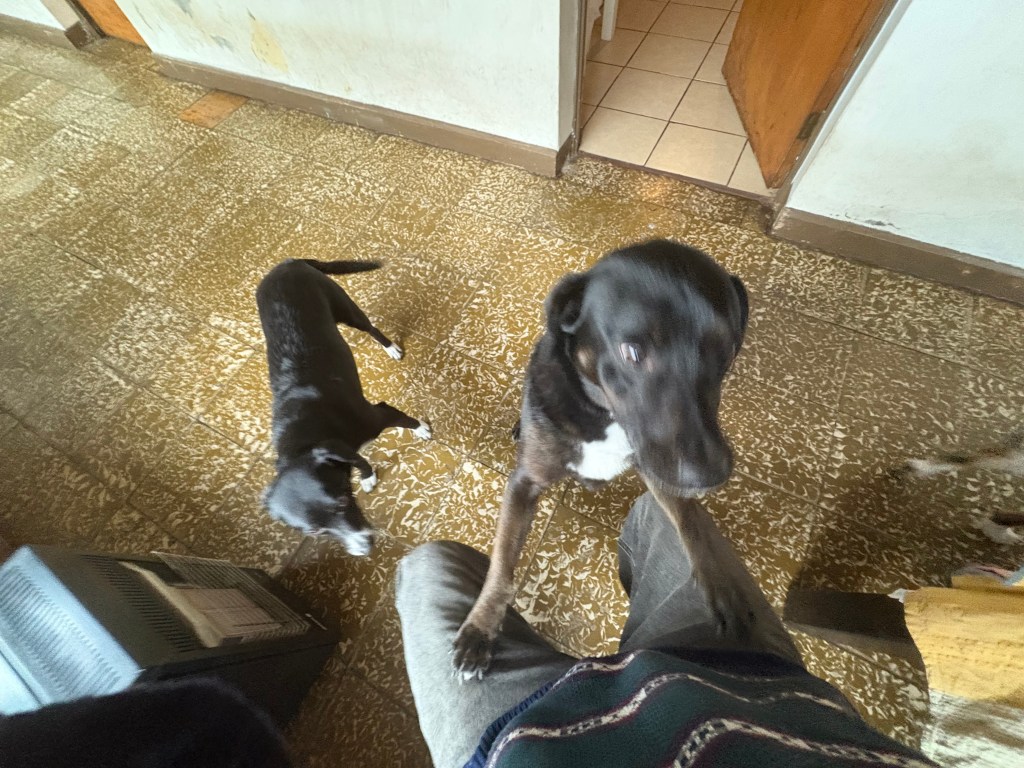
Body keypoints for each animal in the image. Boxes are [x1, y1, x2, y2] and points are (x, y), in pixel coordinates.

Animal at [256, 259, 431, 557]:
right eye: (314, 532)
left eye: (340, 502)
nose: (364, 547)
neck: (304, 440)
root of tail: (286, 263)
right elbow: (361, 460)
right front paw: (367, 477)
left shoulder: (380, 414)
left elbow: (406, 422)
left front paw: (422, 430)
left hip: (347, 309)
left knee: (371, 328)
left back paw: (392, 348)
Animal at [452, 240, 749, 678]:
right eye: (632, 352)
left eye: (726, 352)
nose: (712, 474)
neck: (603, 413)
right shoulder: (524, 483)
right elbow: (502, 565)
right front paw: (480, 628)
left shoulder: (661, 467)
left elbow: (691, 520)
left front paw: (723, 586)